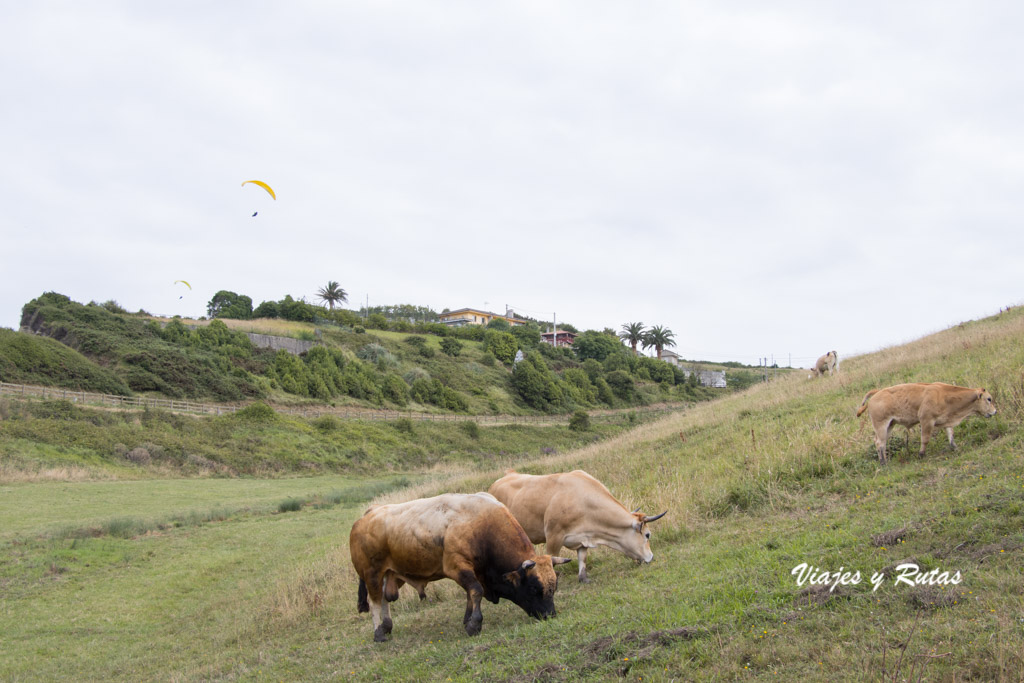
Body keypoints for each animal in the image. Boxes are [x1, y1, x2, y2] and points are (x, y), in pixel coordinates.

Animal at [348, 491, 573, 643]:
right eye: (534, 588)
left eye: (554, 587)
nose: (550, 615)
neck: (483, 525)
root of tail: (369, 513)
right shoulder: (457, 567)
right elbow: (476, 591)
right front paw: (475, 624)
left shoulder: (474, 571)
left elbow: (470, 595)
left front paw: (468, 619)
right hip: (372, 574)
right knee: (375, 601)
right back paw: (378, 632)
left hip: (390, 573)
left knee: (385, 599)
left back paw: (386, 626)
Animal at [489, 473, 667, 585]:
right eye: (648, 535)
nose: (651, 557)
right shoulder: (554, 536)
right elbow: (552, 560)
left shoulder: (583, 538)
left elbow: (583, 559)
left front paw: (583, 578)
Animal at [851, 382, 995, 462]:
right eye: (989, 399)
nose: (994, 412)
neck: (944, 395)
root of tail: (876, 393)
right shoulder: (926, 420)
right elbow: (925, 439)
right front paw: (921, 454)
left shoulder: (946, 419)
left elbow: (950, 434)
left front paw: (955, 447)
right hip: (881, 425)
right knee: (879, 443)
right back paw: (884, 463)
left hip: (890, 425)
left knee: (881, 442)